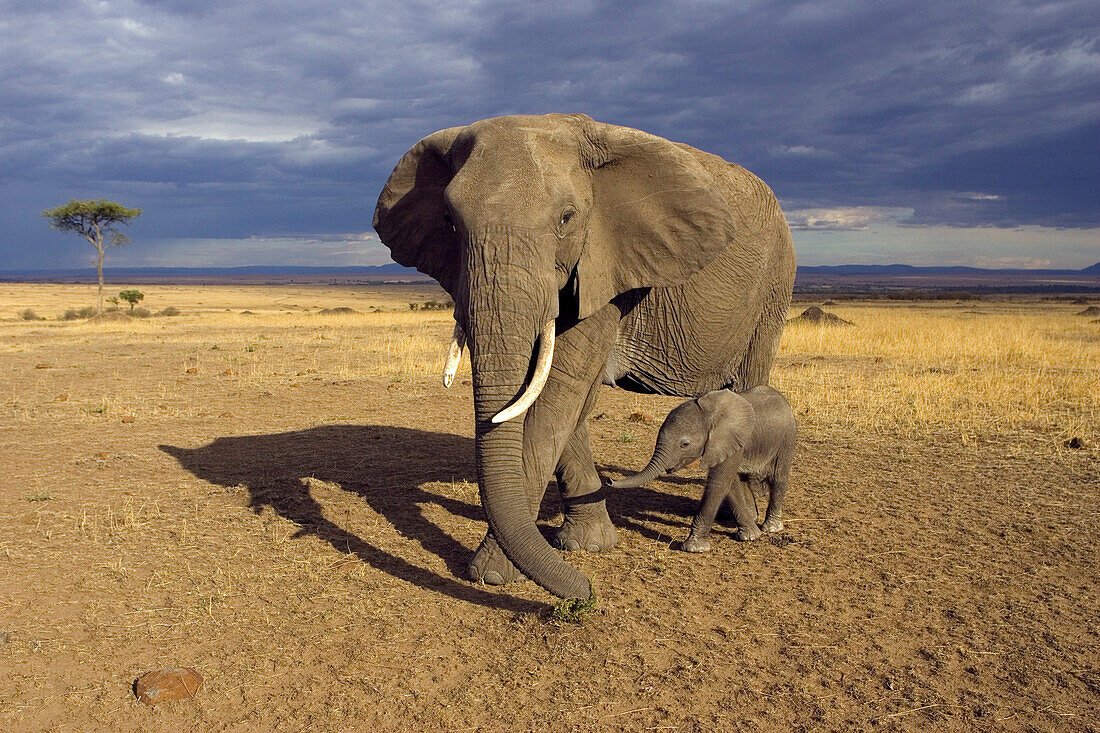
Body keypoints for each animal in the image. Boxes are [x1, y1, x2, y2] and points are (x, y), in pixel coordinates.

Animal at [611, 385, 800, 550]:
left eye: (684, 444)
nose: (609, 481)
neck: (709, 415)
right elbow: (729, 485)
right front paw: (750, 535)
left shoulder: (727, 439)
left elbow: (719, 483)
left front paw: (694, 548)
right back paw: (752, 518)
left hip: (787, 438)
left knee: (779, 477)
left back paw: (771, 527)